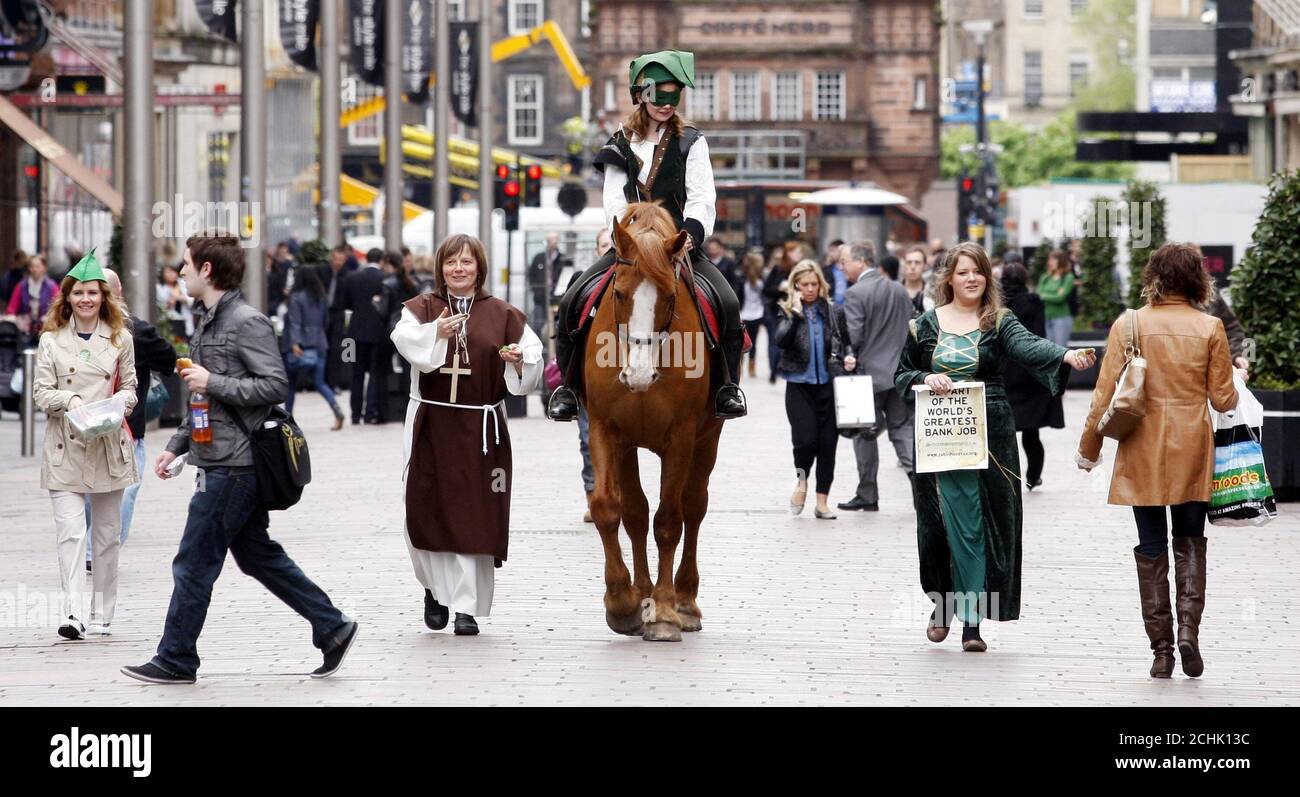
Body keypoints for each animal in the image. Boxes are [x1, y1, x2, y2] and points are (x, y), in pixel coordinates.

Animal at [587, 204, 728, 639]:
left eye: (668, 296)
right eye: (618, 293)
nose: (638, 375)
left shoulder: (681, 436)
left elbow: (669, 519)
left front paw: (665, 611)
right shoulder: (606, 429)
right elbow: (610, 508)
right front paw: (623, 602)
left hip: (708, 439)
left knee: (693, 507)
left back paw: (684, 601)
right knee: (635, 513)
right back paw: (643, 594)